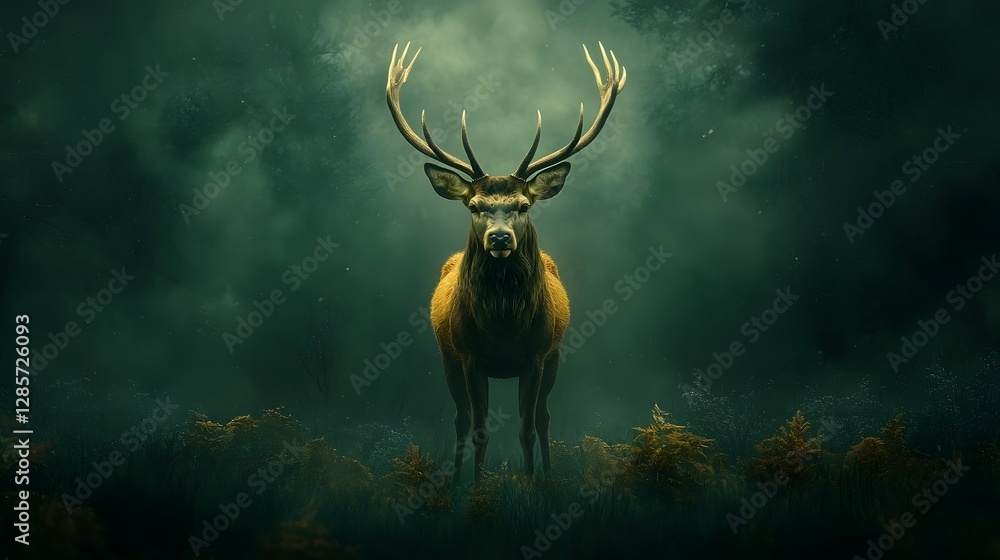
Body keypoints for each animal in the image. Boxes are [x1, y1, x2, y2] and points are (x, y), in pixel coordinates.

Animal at [386, 42, 626, 483]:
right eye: (474, 206)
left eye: (523, 205)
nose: (499, 238)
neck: (502, 326)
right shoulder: (469, 356)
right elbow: (479, 428)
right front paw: (477, 487)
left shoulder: (536, 355)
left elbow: (528, 427)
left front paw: (532, 485)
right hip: (447, 358)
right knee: (461, 420)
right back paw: (454, 481)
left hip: (554, 357)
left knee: (544, 417)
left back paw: (547, 475)